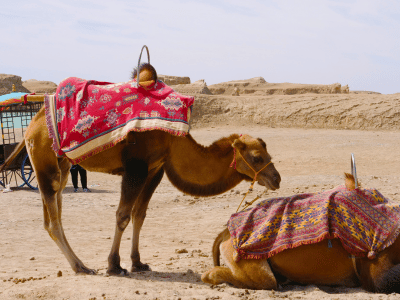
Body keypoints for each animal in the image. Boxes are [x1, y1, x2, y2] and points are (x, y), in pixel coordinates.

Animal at [0, 64, 282, 276]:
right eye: (257, 157)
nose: (276, 178)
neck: (175, 141)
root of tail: (32, 124)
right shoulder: (136, 167)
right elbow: (123, 215)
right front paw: (114, 265)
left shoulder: (155, 169)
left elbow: (140, 215)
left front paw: (137, 262)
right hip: (44, 162)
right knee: (53, 220)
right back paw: (81, 266)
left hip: (62, 164)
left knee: (55, 210)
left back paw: (79, 264)